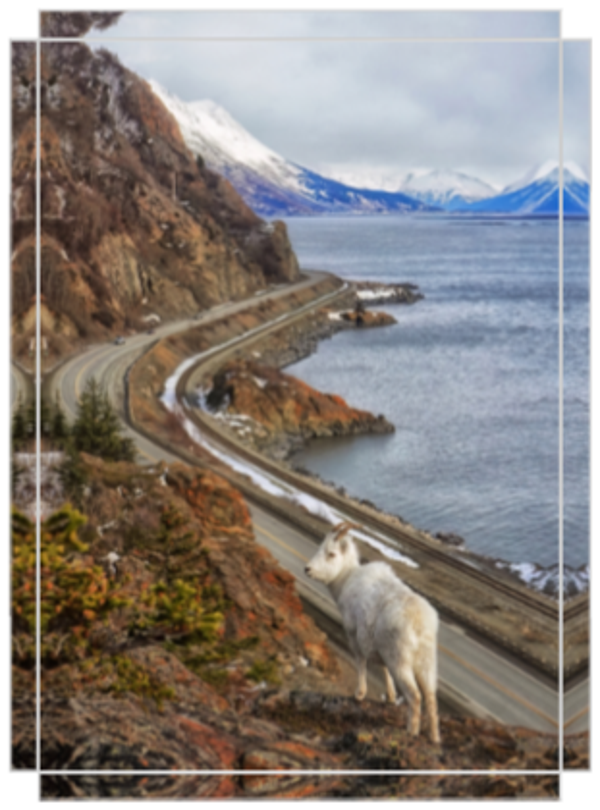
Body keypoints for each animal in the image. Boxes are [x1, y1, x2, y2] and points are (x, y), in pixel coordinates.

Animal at [305, 522, 440, 743]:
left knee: (415, 696)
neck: (346, 579)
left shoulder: (355, 636)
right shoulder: (378, 648)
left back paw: (411, 733)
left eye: (331, 553)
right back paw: (434, 738)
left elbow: (361, 662)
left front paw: (359, 694)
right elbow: (383, 669)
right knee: (430, 697)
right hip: (426, 663)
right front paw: (391, 697)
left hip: (401, 662)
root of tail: (420, 623)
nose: (307, 569)